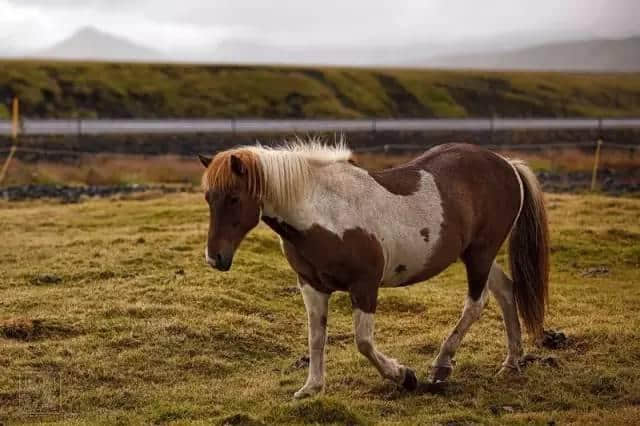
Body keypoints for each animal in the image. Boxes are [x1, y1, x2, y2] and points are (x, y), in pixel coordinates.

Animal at [199, 141, 552, 400]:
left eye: (234, 198)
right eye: (208, 197)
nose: (215, 258)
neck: (325, 213)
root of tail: (507, 164)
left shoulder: (365, 286)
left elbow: (364, 342)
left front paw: (404, 376)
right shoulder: (312, 286)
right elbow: (316, 337)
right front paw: (312, 388)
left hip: (480, 253)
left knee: (476, 304)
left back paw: (441, 366)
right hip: (476, 255)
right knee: (506, 290)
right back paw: (512, 362)